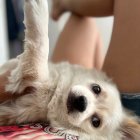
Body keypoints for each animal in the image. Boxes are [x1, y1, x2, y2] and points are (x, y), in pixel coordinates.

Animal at [0, 0, 139, 139]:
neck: (54, 93)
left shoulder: (31, 74)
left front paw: (39, 8)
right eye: (96, 88)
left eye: (95, 121)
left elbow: (40, 49)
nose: (82, 102)